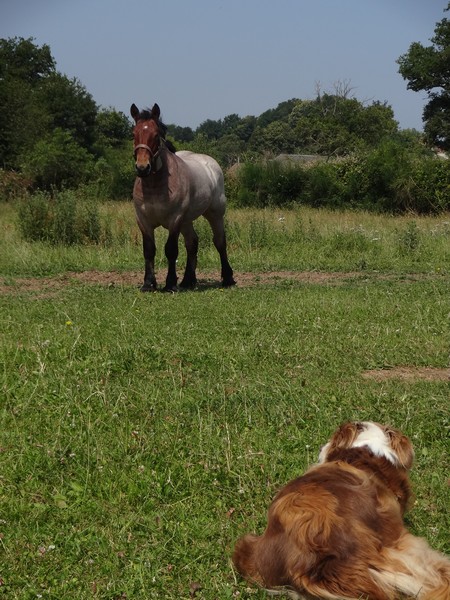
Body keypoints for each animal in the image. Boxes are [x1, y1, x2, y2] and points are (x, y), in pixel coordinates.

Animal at [130, 104, 236, 292]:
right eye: (133, 134)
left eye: (156, 135)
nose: (143, 168)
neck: (155, 185)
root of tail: (211, 164)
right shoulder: (143, 220)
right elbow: (149, 250)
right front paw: (148, 283)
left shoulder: (175, 219)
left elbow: (171, 250)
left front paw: (170, 283)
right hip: (186, 221)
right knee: (192, 243)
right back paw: (188, 280)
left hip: (214, 214)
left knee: (219, 241)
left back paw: (228, 278)